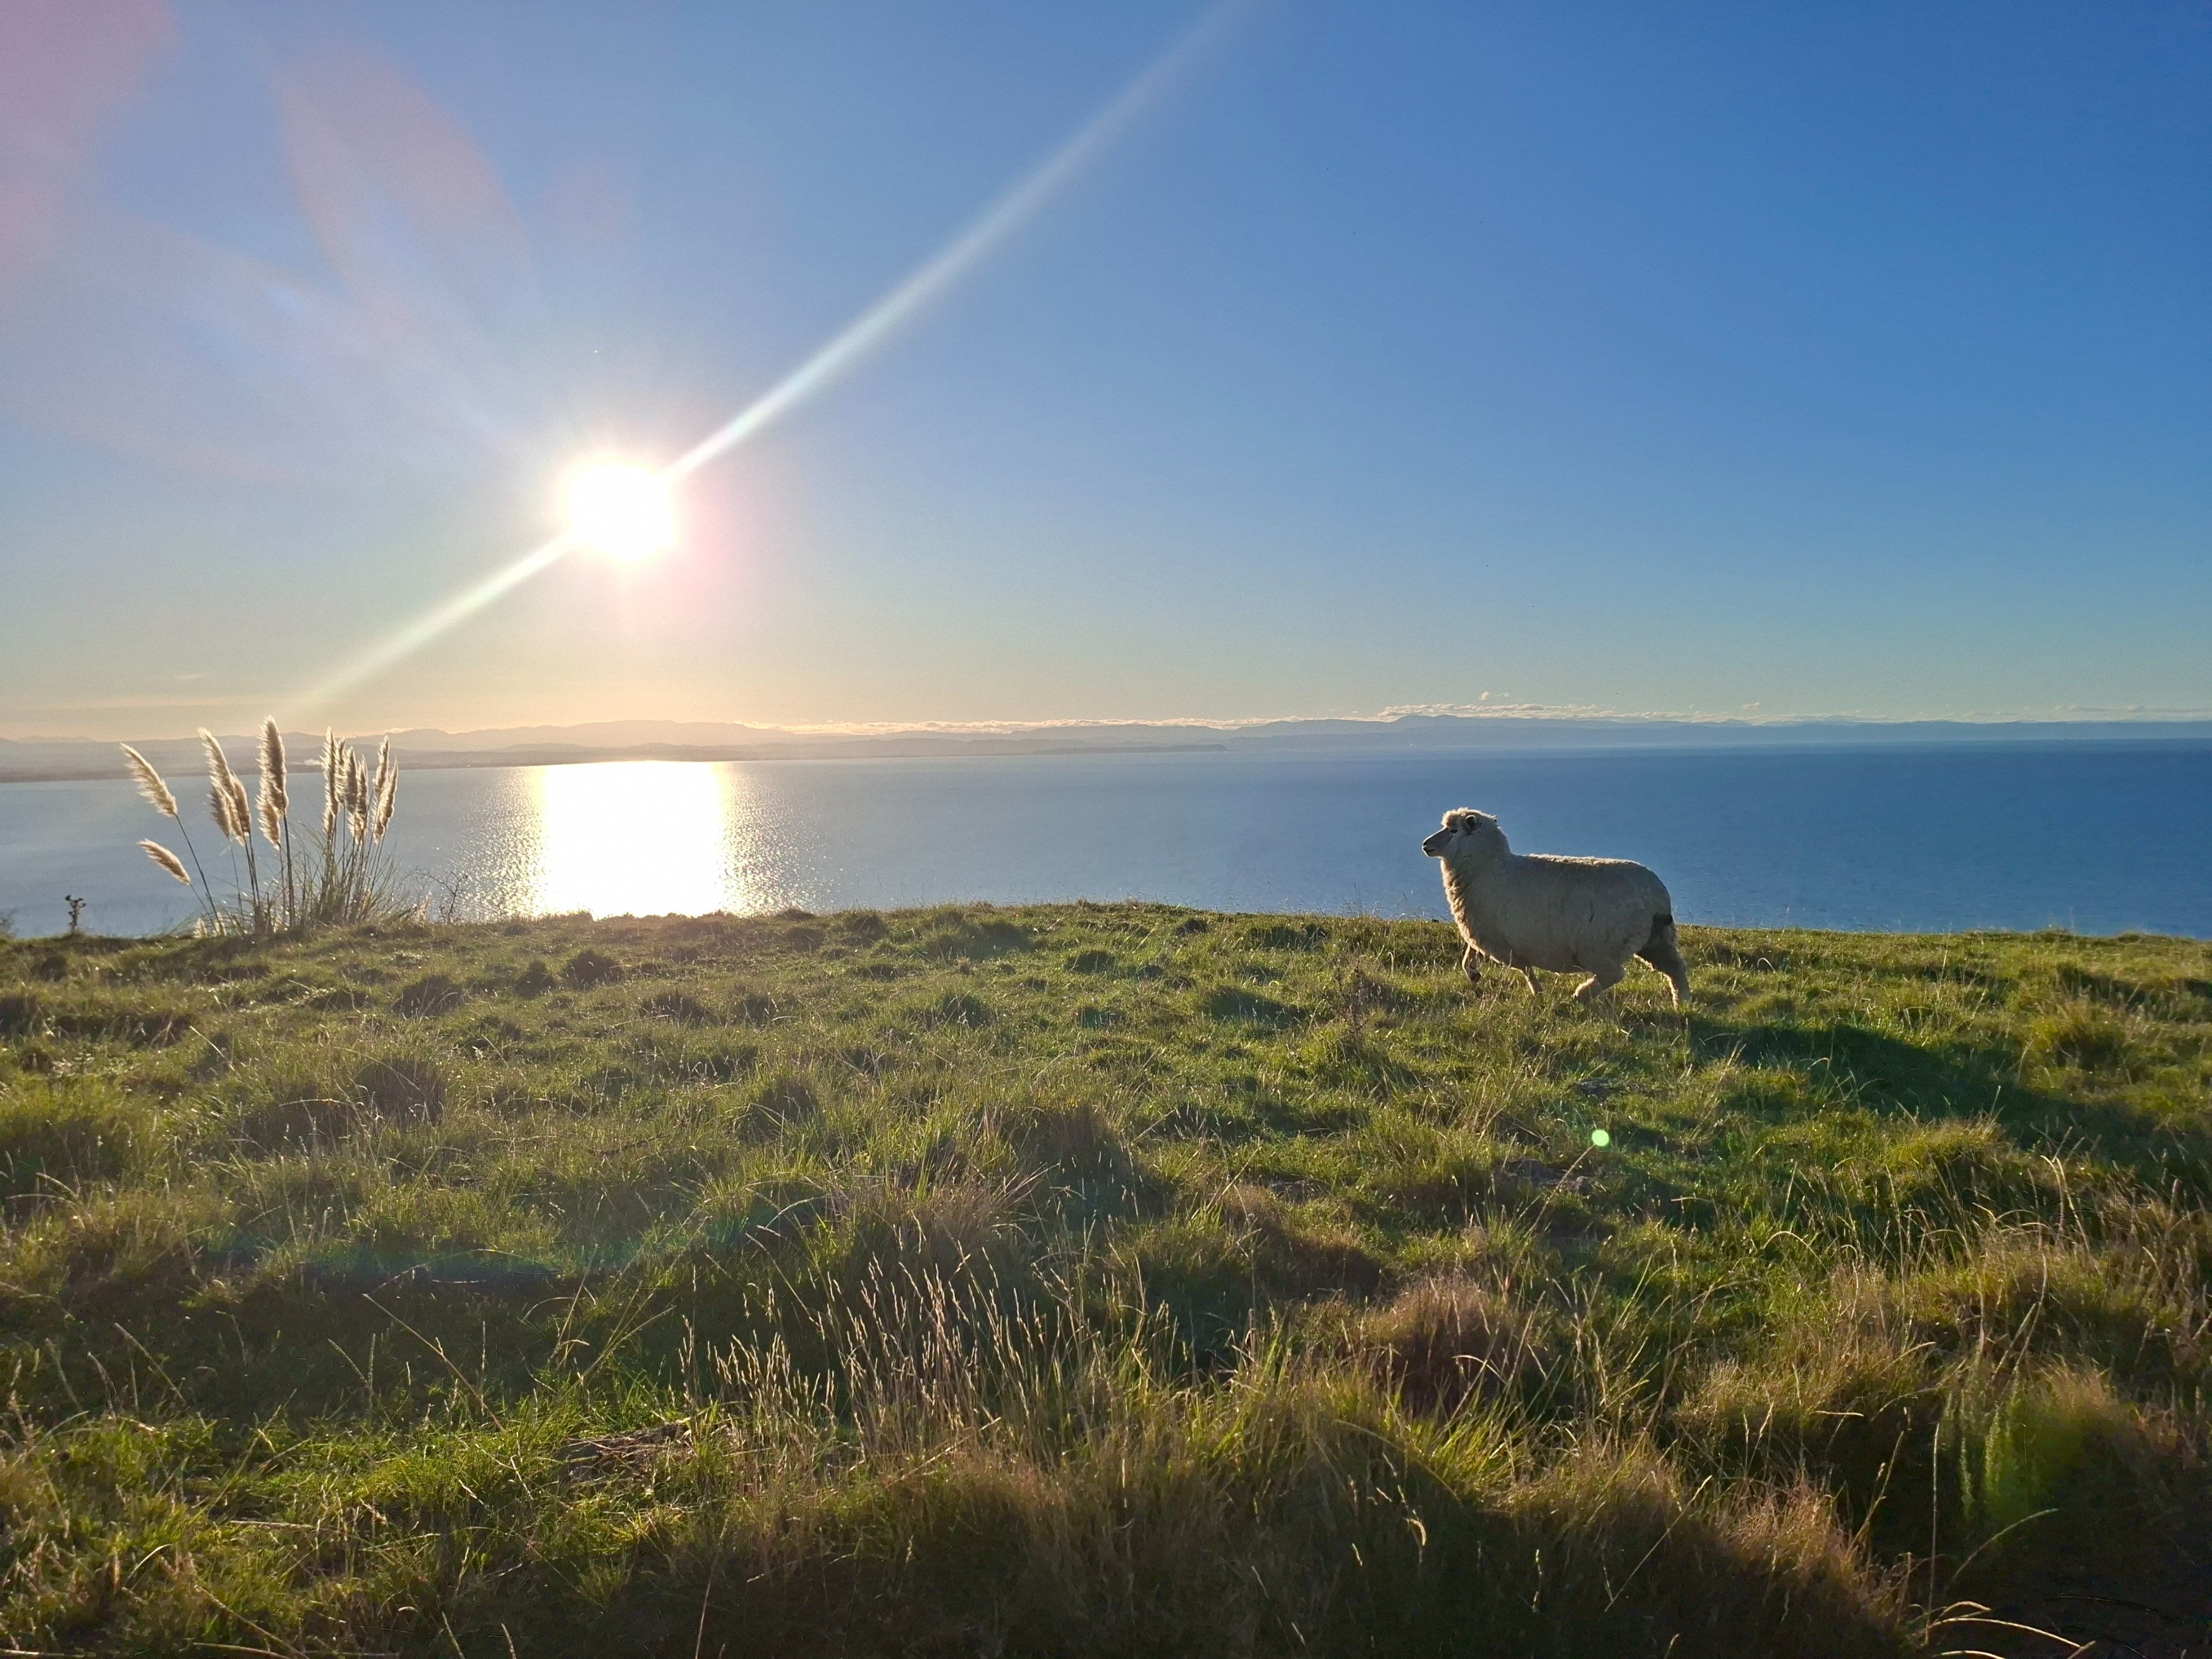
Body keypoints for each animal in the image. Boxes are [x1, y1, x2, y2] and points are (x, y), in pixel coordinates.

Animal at [1422, 808, 1688, 1006]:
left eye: (1454, 831)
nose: (1425, 845)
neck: (1487, 867)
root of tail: (1657, 896)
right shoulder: (1484, 930)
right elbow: (1470, 953)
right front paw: (1473, 973)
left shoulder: (1502, 939)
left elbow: (1524, 968)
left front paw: (1537, 992)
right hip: (1657, 939)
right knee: (1676, 968)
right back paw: (1681, 1003)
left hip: (1601, 947)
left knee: (1614, 975)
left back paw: (1582, 994)